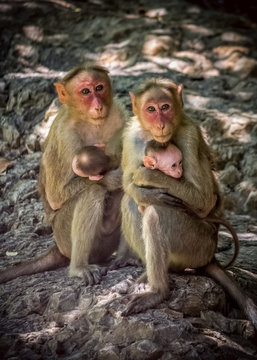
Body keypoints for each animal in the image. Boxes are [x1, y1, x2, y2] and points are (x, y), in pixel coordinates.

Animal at [0, 63, 128, 286]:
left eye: (99, 87)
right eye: (85, 92)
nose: (98, 105)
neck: (91, 120)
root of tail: (58, 248)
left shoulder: (119, 111)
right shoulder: (65, 136)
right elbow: (56, 195)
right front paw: (113, 177)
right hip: (65, 236)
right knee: (92, 192)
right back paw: (79, 267)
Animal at [120, 77, 256, 328]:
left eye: (165, 107)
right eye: (151, 110)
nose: (161, 123)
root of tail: (210, 257)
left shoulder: (189, 135)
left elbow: (203, 199)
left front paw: (148, 175)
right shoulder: (131, 136)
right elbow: (127, 183)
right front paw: (145, 187)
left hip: (198, 245)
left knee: (156, 213)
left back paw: (158, 291)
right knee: (131, 203)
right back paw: (151, 277)